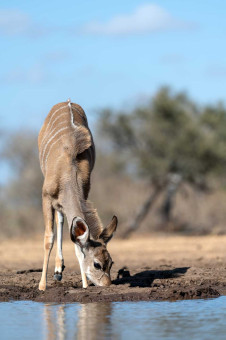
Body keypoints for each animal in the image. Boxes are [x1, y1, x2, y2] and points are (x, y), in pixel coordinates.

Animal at [38, 99, 117, 290]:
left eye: (111, 262)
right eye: (97, 264)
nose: (107, 284)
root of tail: (66, 101)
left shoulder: (83, 193)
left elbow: (76, 244)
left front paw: (85, 285)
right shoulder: (45, 198)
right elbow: (48, 238)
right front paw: (42, 286)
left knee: (61, 219)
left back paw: (59, 270)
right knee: (58, 222)